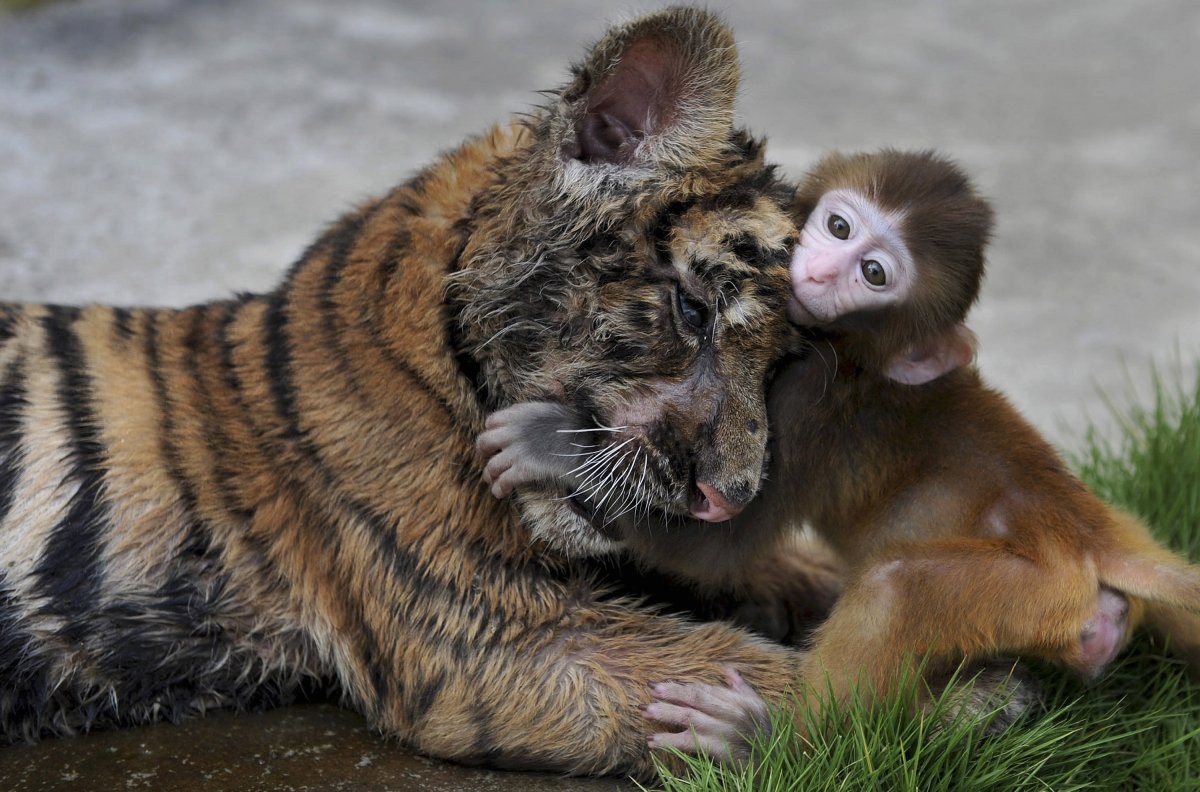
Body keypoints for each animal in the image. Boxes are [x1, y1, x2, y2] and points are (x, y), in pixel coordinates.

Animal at [475, 147, 1200, 763]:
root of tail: (1091, 529)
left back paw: (768, 740)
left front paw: (554, 444)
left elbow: (717, 544)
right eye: (840, 225)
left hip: (1033, 588)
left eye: (874, 274)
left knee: (895, 587)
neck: (853, 355)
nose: (821, 269)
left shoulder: (806, 400)